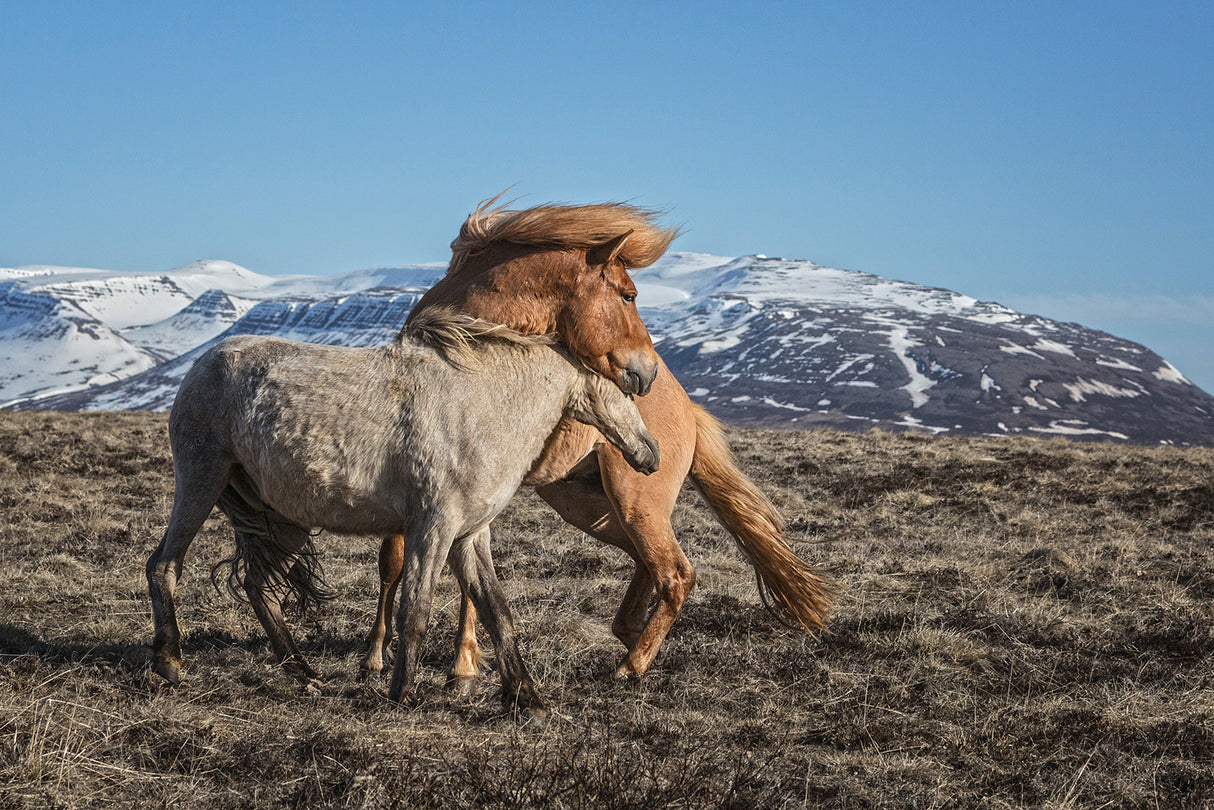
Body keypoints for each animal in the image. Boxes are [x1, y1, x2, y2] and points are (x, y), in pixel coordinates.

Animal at [145, 307, 660, 720]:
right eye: (623, 386)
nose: (650, 454)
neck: (481, 406)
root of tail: (203, 364)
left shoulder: (468, 536)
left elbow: (497, 611)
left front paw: (526, 700)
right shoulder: (433, 528)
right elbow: (416, 610)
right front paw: (402, 693)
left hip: (280, 519)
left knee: (258, 586)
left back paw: (304, 672)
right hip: (202, 480)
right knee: (164, 565)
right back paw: (170, 661)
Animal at [362, 198, 837, 694]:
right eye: (628, 295)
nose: (646, 372)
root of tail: (686, 407)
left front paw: (460, 666)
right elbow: (401, 564)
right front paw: (383, 657)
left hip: (633, 501)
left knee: (676, 573)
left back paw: (633, 664)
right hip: (584, 504)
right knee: (649, 563)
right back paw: (628, 634)